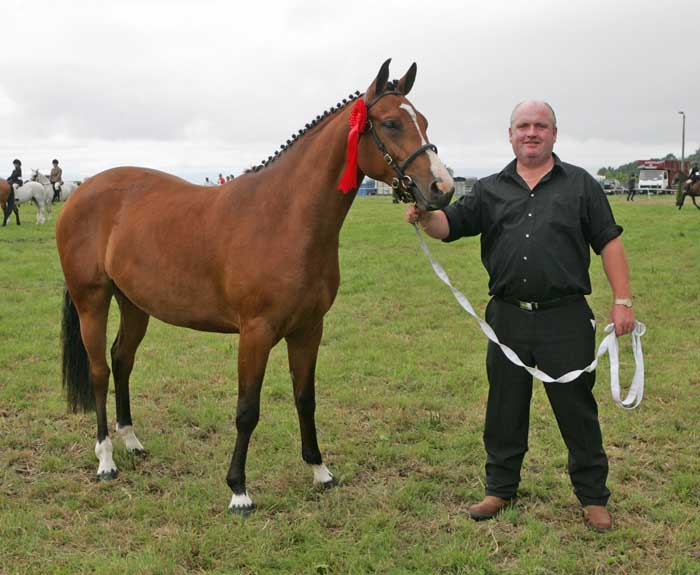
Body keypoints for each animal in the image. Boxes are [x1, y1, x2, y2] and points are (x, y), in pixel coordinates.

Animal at [56, 58, 454, 516]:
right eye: (390, 123)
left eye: (423, 121)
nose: (442, 188)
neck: (283, 216)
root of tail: (81, 191)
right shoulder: (255, 333)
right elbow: (247, 410)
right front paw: (239, 490)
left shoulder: (308, 330)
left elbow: (305, 398)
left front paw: (320, 471)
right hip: (92, 300)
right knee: (100, 370)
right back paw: (105, 458)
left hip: (135, 304)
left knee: (122, 360)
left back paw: (132, 441)